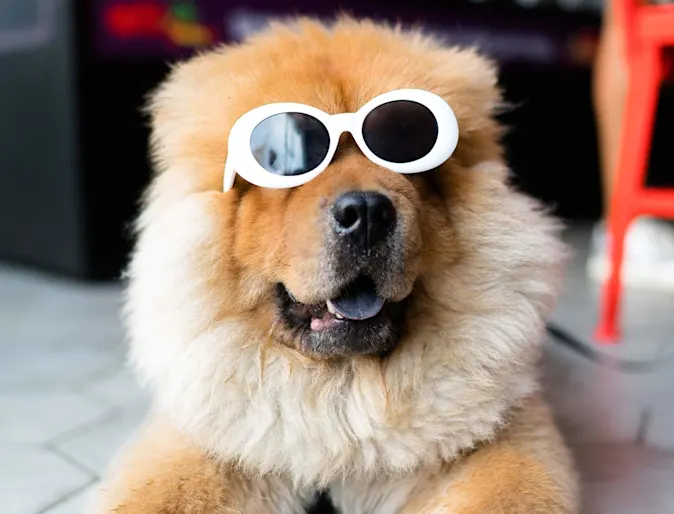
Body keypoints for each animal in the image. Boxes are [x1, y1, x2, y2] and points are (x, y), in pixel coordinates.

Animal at [89, 16, 576, 512]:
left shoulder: (503, 440)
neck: (342, 389)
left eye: (404, 144)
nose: (367, 212)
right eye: (285, 159)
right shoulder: (205, 439)